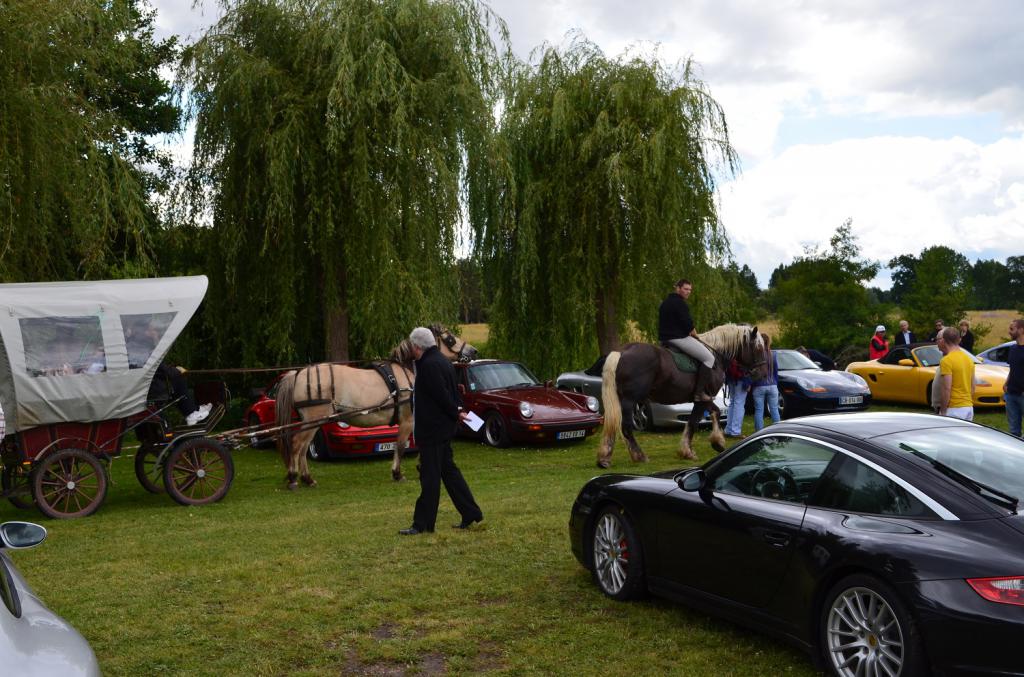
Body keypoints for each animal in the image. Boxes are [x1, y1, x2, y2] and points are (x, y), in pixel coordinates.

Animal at [274, 325, 477, 487]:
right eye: (449, 338)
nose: (474, 351)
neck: (407, 371)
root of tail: (298, 374)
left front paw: (419, 465)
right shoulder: (407, 420)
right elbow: (400, 446)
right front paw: (397, 473)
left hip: (314, 421)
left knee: (303, 448)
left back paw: (307, 479)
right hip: (314, 420)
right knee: (297, 444)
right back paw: (293, 477)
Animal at [598, 325, 765, 467]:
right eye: (758, 348)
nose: (760, 374)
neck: (715, 355)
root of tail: (622, 352)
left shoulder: (703, 399)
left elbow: (706, 416)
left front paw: (704, 446)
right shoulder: (703, 398)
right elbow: (698, 420)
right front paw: (703, 447)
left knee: (613, 424)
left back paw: (605, 459)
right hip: (630, 400)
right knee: (625, 427)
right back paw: (639, 456)